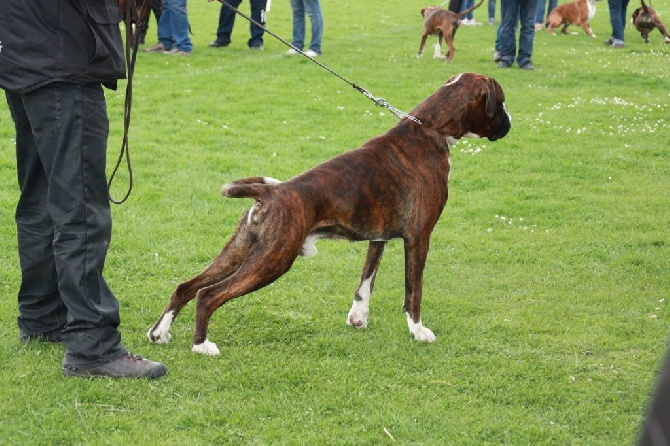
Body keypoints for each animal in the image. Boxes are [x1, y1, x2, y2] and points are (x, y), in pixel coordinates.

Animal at [150, 74, 512, 358]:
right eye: (501, 102)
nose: (510, 123)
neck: (429, 129)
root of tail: (271, 194)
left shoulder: (378, 236)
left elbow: (366, 282)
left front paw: (358, 318)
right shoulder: (419, 237)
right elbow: (413, 291)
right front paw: (418, 331)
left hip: (242, 250)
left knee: (186, 286)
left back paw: (160, 332)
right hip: (272, 260)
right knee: (208, 294)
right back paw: (202, 345)